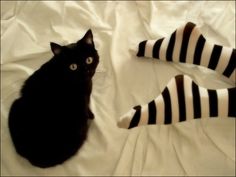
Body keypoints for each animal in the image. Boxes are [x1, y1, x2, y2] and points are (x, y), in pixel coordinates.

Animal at [8, 29, 99, 167]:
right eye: (73, 66)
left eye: (89, 60)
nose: (86, 72)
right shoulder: (84, 98)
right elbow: (87, 108)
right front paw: (91, 115)